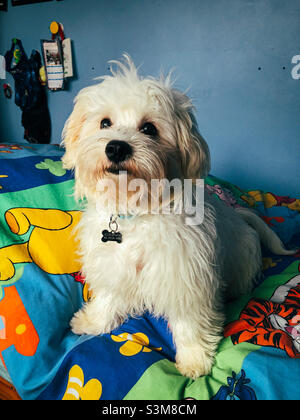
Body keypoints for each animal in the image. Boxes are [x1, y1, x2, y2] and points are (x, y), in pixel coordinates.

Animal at [61, 54, 296, 378]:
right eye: (104, 123)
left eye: (149, 129)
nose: (116, 147)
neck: (137, 212)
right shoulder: (113, 264)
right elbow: (108, 297)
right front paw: (94, 321)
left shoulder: (185, 277)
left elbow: (189, 323)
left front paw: (194, 357)